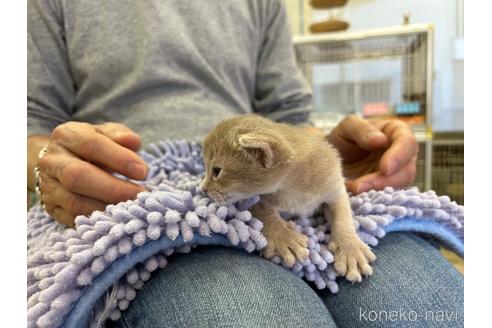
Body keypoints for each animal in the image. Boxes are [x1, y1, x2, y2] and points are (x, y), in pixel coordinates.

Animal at [202, 114, 374, 280]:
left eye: (216, 171)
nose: (203, 189)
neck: (295, 187)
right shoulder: (251, 200)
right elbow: (265, 213)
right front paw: (284, 238)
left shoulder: (335, 189)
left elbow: (343, 218)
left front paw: (350, 249)